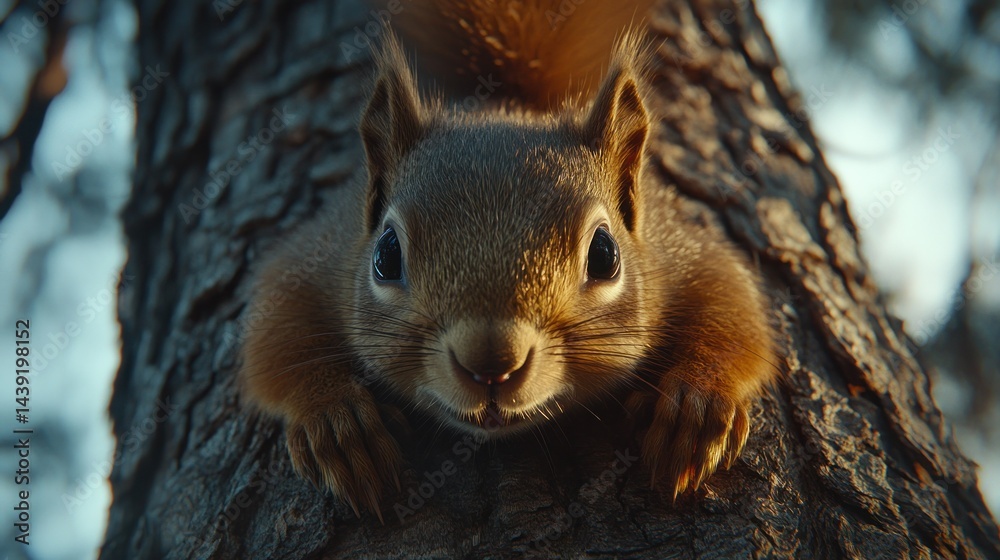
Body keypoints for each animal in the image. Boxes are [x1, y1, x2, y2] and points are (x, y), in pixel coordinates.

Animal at [238, 0, 778, 521]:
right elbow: (274, 338)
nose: (491, 365)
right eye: (386, 255)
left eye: (605, 254)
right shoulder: (322, 252)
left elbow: (736, 311)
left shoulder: (680, 252)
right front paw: (337, 420)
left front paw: (695, 405)